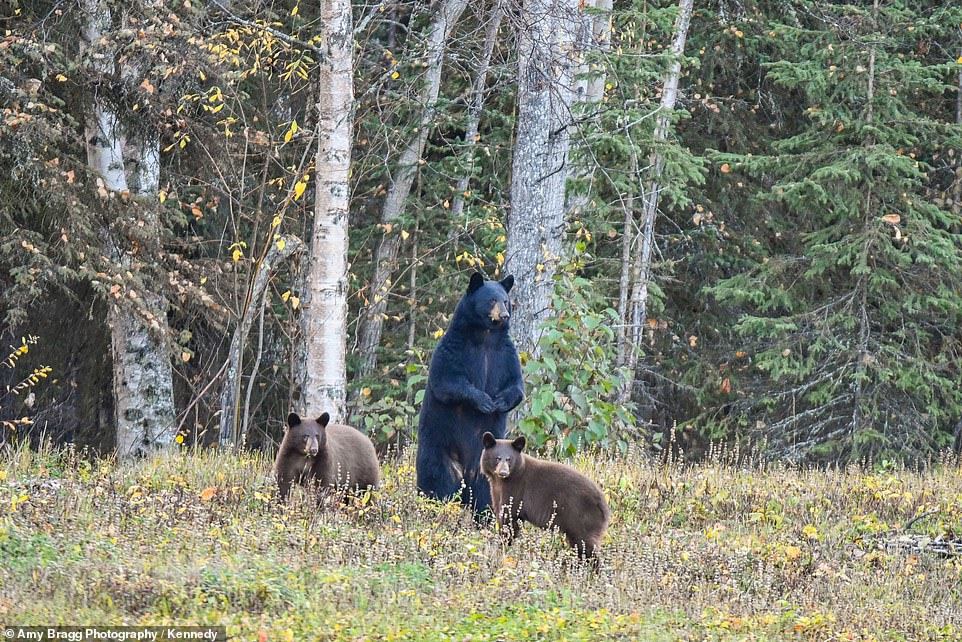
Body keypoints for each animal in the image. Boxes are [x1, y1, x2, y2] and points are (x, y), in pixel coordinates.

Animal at [414, 270, 520, 510]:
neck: (486, 337)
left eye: (506, 301)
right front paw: (484, 401)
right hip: (440, 450)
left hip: (489, 462)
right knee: (437, 481)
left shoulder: (507, 355)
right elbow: (447, 381)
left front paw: (499, 401)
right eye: (491, 299)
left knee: (486, 492)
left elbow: (517, 386)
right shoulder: (453, 349)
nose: (505, 315)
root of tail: (467, 472)